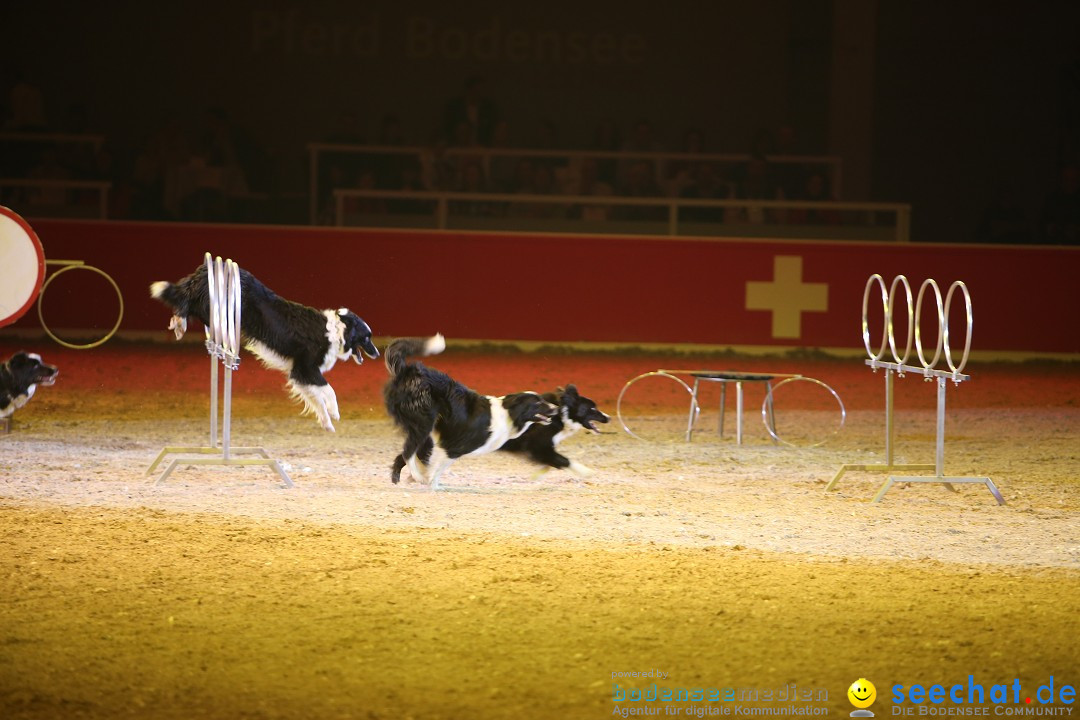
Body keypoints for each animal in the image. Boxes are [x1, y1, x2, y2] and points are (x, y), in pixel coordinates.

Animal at [150, 262, 380, 431]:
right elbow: (329, 390)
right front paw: (334, 412)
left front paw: (326, 422)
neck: (337, 331)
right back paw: (179, 323)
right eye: (367, 338)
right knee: (186, 301)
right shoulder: (305, 368)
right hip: (214, 309)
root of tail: (204, 270)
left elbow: (316, 398)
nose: (378, 354)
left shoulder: (300, 374)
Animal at [382, 334, 557, 492]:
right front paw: (430, 483)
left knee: (405, 454)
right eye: (538, 403)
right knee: (408, 451)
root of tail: (408, 371)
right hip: (423, 424)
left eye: (542, 399)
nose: (556, 408)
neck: (508, 414)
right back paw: (418, 476)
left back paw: (401, 477)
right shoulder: (453, 448)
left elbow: (424, 462)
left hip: (425, 431)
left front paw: (418, 479)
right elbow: (436, 468)